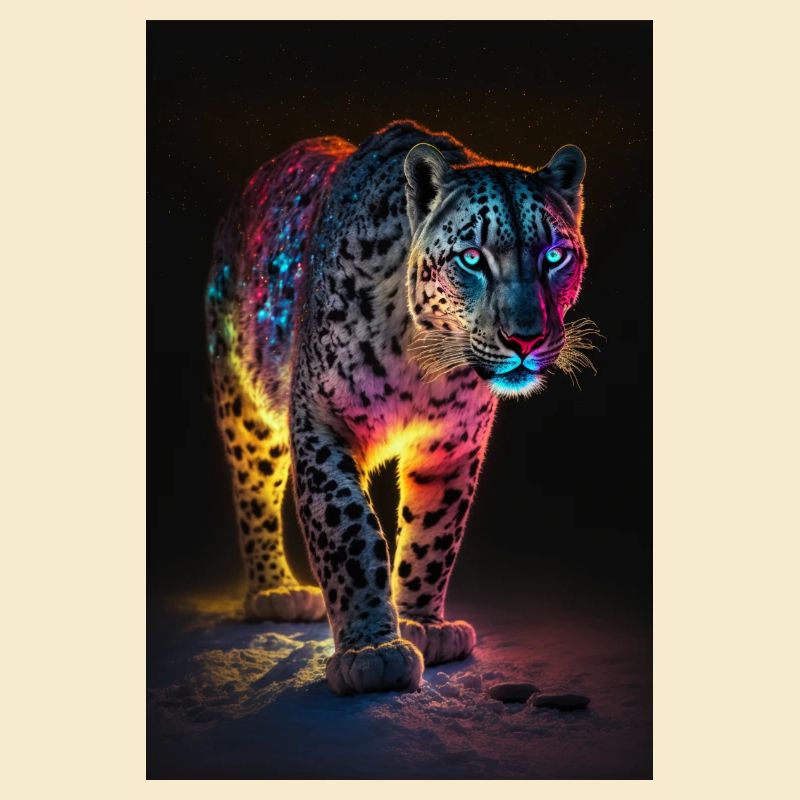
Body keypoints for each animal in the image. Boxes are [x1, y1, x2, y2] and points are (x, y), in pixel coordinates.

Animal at [205, 120, 594, 695]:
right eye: (472, 259)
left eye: (554, 256)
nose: (525, 338)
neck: (421, 356)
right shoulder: (322, 420)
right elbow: (349, 530)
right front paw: (372, 652)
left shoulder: (452, 444)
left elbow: (435, 533)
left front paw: (423, 625)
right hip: (244, 404)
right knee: (253, 488)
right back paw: (274, 591)